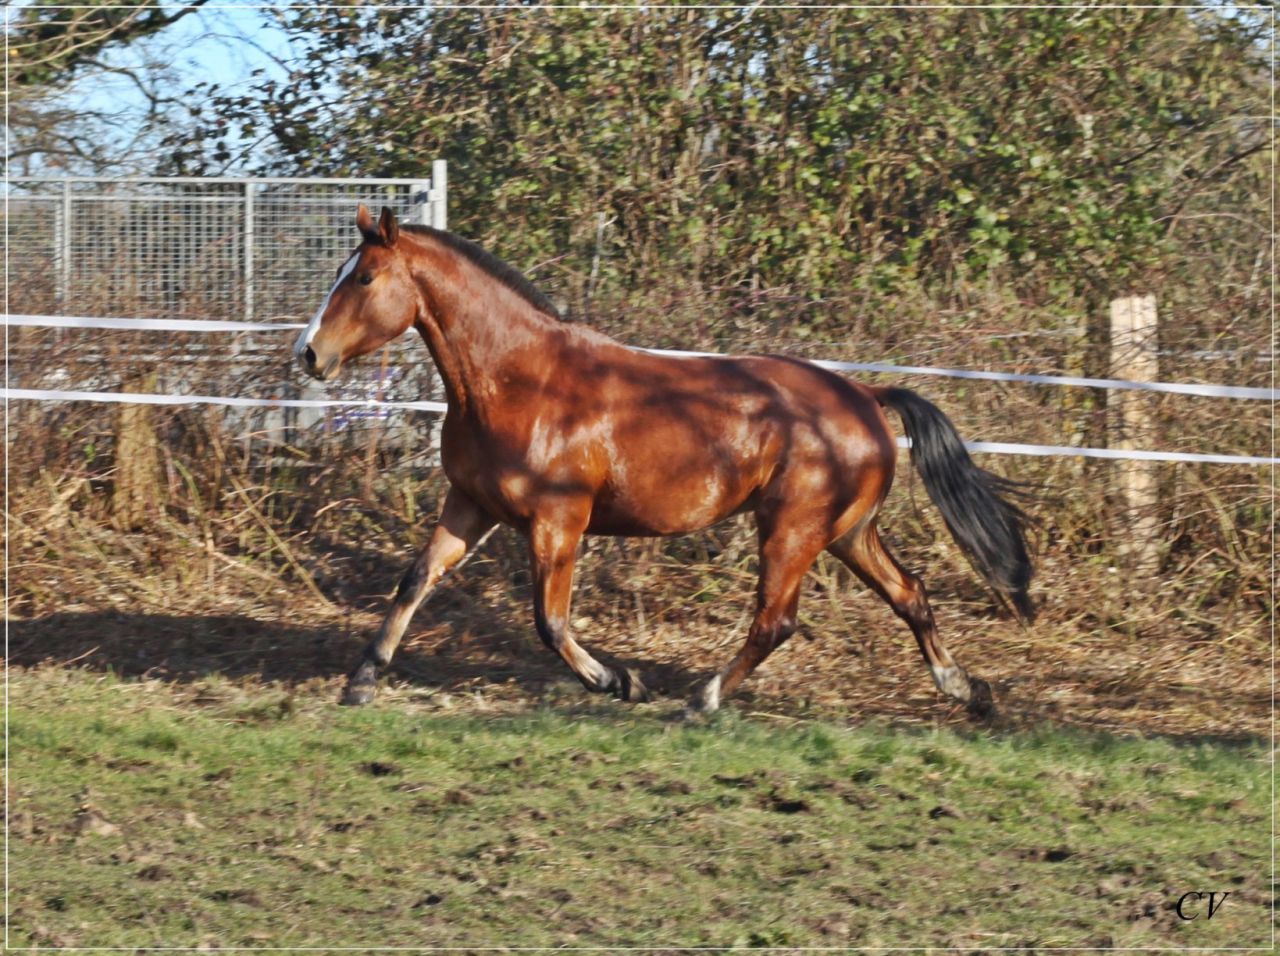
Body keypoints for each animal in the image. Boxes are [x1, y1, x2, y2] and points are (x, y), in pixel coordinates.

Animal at [294, 205, 1035, 716]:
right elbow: (415, 580)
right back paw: (965, 689)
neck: (521, 381)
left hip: (791, 530)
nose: (309, 354)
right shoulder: (472, 505)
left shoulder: (558, 520)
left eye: (364, 277)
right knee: (910, 594)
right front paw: (361, 682)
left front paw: (621, 681)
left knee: (776, 621)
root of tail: (865, 394)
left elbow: (549, 621)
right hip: (847, 531)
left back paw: (702, 698)